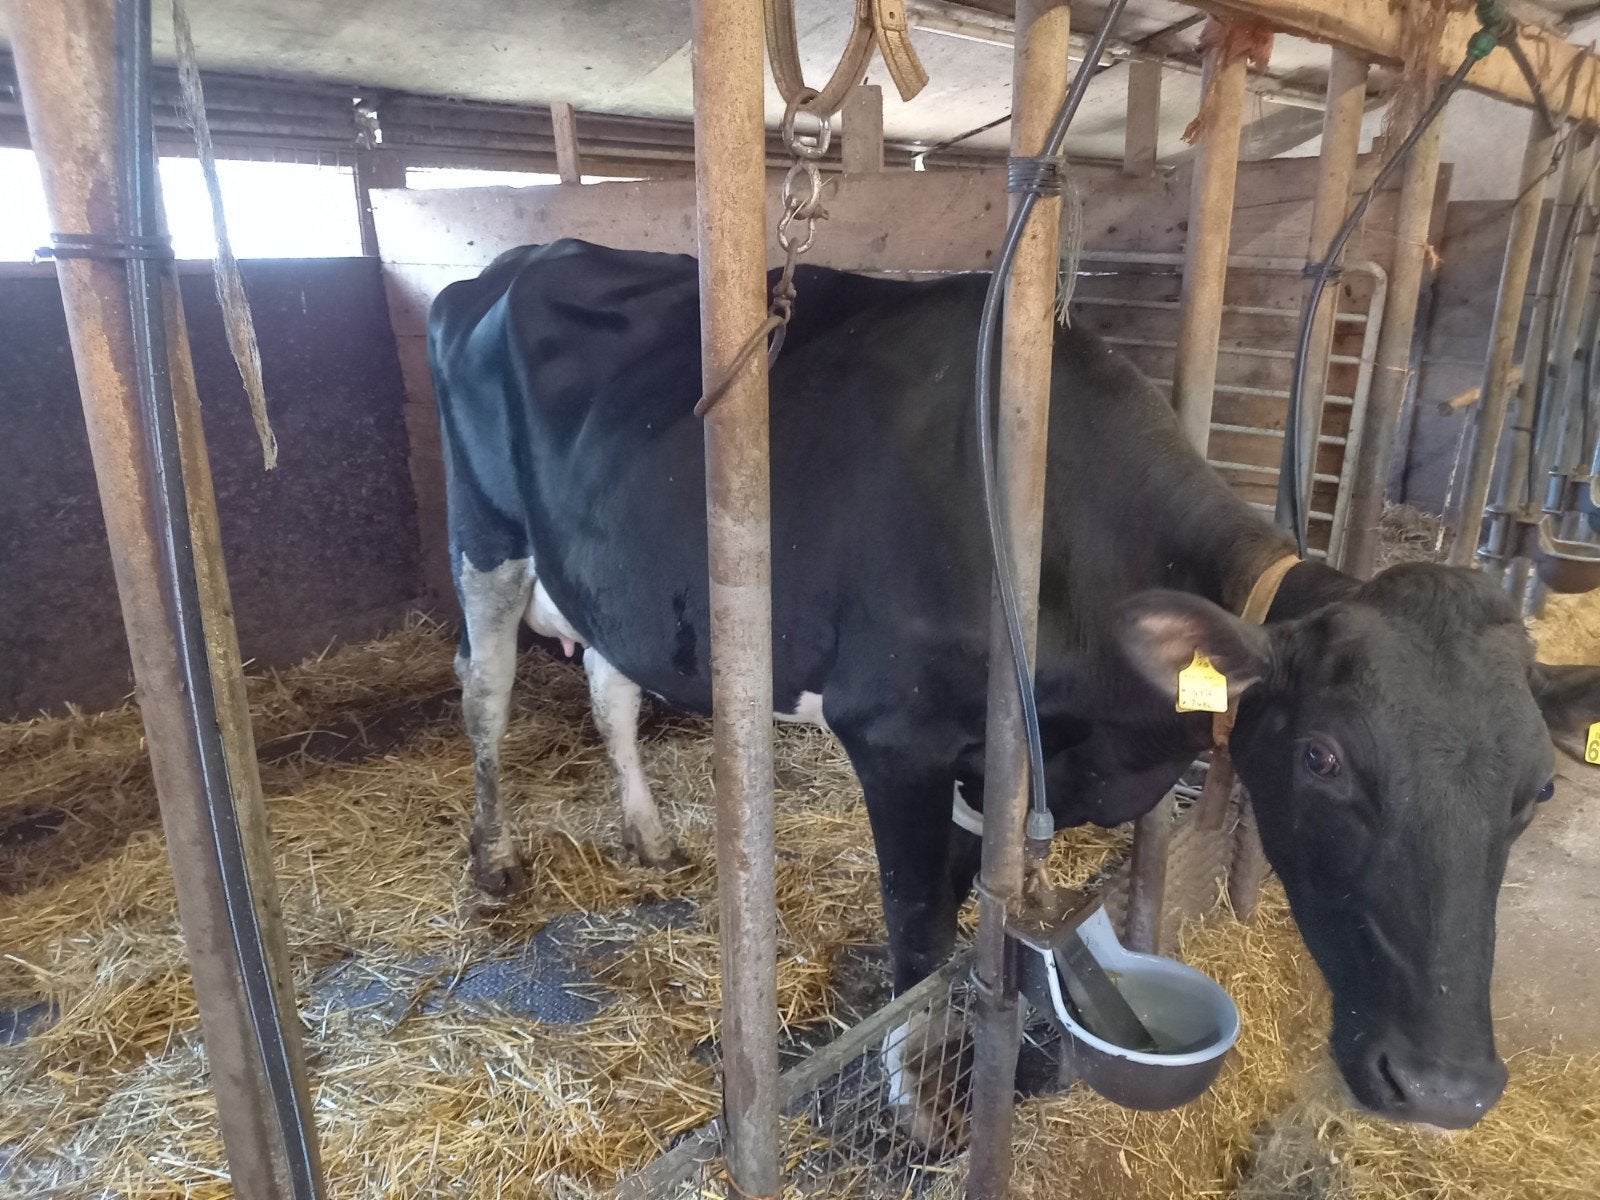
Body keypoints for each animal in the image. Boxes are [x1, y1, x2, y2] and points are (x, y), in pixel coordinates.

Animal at [428, 238, 1600, 1133]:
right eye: (1322, 757)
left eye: (1538, 792)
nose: (1445, 1088)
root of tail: (519, 259)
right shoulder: (894, 734)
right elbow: (917, 929)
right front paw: (917, 1093)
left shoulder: (989, 758)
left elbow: (967, 908)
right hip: (484, 539)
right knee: (484, 691)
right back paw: (493, 860)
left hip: (605, 567)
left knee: (611, 687)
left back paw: (646, 832)